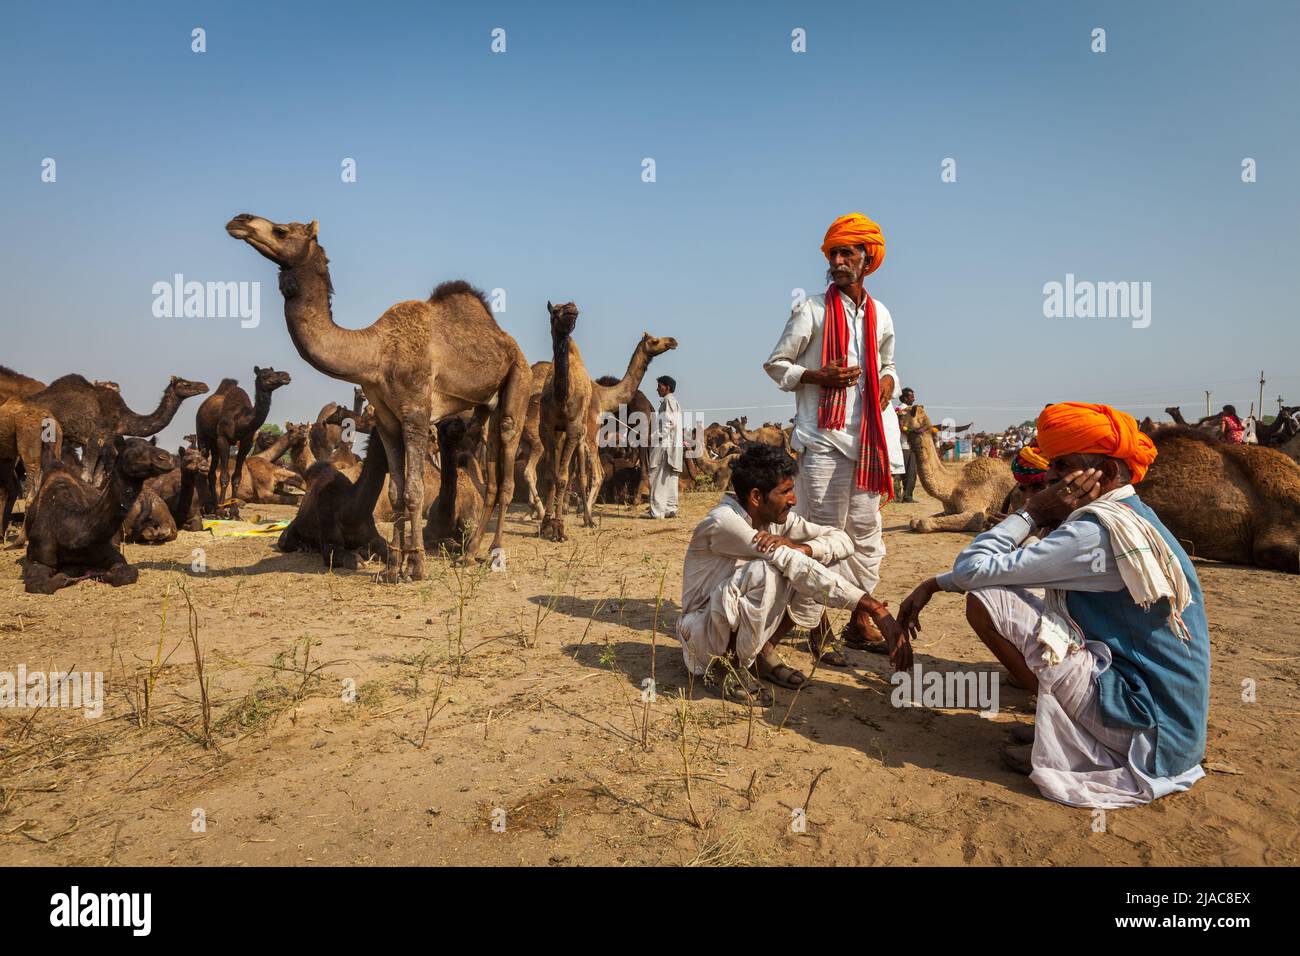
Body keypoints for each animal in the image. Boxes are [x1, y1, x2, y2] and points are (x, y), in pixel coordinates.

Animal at [29, 371, 208, 481]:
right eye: (185, 384)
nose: (204, 386)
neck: (123, 419)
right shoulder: (94, 439)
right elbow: (86, 477)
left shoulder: (105, 443)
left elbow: (96, 479)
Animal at [195, 369, 292, 515]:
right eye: (265, 374)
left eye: (273, 370)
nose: (285, 375)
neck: (239, 420)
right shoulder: (223, 439)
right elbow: (224, 476)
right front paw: (222, 512)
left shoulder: (246, 442)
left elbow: (237, 477)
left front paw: (234, 512)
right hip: (203, 437)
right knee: (204, 463)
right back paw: (207, 508)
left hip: (214, 444)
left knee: (211, 473)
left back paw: (215, 505)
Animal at [228, 213, 527, 580]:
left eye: (282, 231)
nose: (239, 221)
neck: (376, 352)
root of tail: (507, 341)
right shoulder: (386, 419)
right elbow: (397, 492)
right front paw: (393, 568)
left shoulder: (416, 411)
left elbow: (414, 490)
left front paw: (416, 567)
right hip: (487, 406)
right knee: (493, 479)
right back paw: (469, 554)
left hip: (518, 379)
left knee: (508, 471)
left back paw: (495, 553)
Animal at [894, 403, 1013, 535]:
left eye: (900, 415)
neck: (953, 486)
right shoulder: (948, 511)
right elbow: (914, 521)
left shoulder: (975, 513)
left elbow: (922, 523)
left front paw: (986, 523)